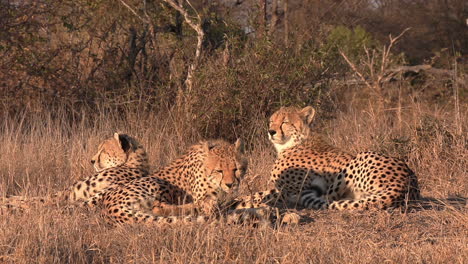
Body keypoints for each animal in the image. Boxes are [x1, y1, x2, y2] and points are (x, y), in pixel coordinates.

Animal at [236, 105, 422, 210]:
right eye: (271, 121)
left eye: (285, 122)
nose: (271, 131)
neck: (295, 142)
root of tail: (406, 185)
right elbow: (255, 193)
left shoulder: (289, 190)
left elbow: (259, 196)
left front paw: (243, 203)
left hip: (359, 159)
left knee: (327, 199)